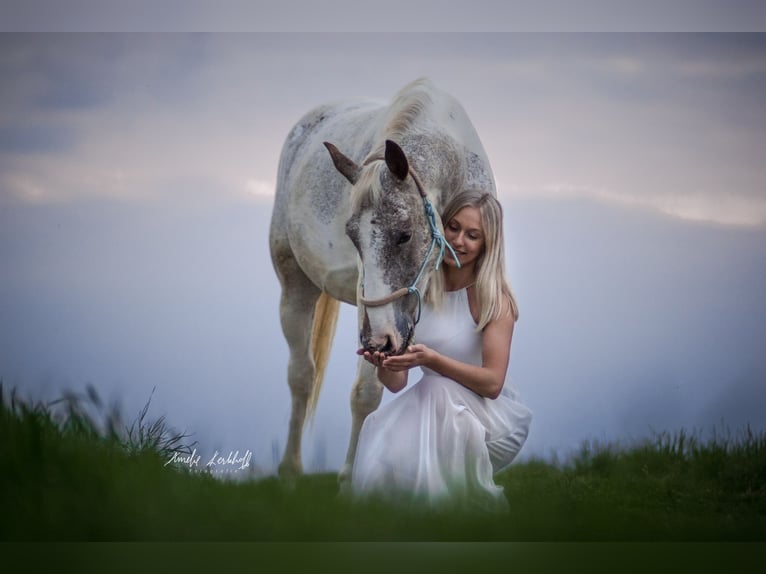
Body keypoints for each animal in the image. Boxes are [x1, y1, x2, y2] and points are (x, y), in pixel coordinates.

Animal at [270, 77, 498, 486]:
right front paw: (351, 480)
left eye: (403, 234)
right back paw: (290, 473)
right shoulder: (375, 320)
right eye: (353, 237)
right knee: (302, 376)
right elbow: (366, 392)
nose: (383, 339)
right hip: (295, 288)